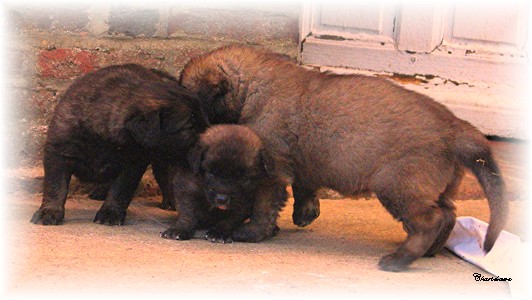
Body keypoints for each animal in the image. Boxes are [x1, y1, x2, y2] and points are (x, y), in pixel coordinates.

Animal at [29, 64, 208, 226]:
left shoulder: (132, 165)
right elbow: (55, 186)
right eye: (190, 127)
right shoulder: (58, 153)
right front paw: (49, 212)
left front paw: (111, 213)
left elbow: (121, 190)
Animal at [178, 44, 508, 272]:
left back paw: (400, 259)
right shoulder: (301, 165)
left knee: (431, 219)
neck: (253, 87)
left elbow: (263, 206)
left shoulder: (271, 171)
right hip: (434, 188)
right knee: (448, 215)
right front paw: (305, 213)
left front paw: (251, 232)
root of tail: (455, 127)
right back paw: (426, 252)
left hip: (396, 185)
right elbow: (304, 189)